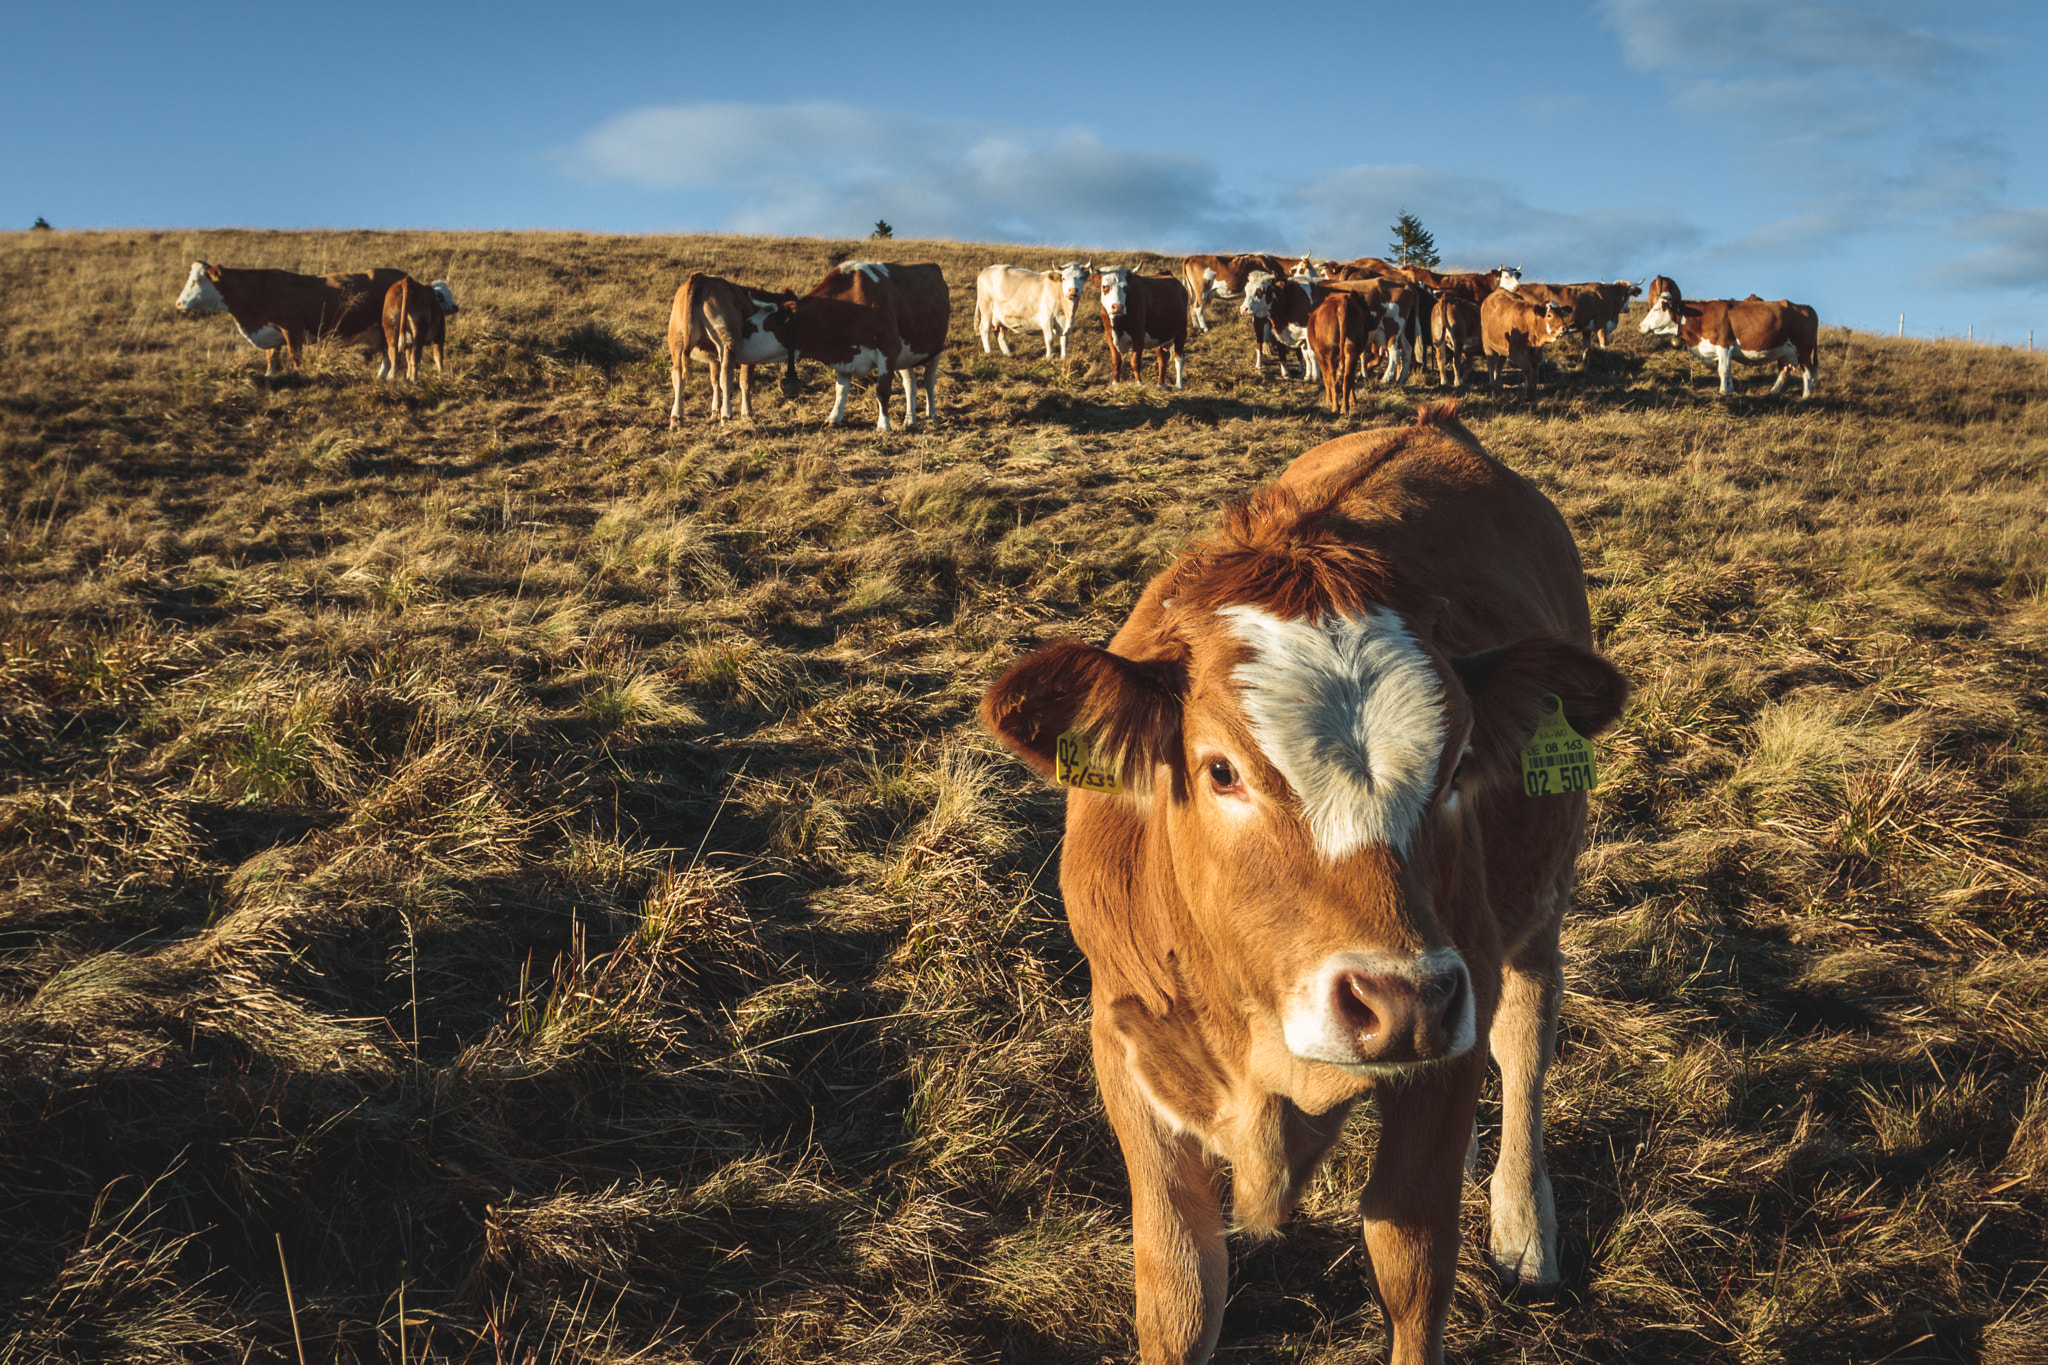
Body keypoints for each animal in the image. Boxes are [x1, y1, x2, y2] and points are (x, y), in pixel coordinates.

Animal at [175, 259, 407, 378]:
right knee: (386, 354)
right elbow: (271, 358)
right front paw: (269, 377)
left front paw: (299, 377)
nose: (178, 303)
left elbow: (295, 357)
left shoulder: (291, 330)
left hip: (389, 327)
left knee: (392, 353)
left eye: (196, 281)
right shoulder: (270, 332)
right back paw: (381, 376)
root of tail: (400, 274)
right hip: (377, 331)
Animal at [671, 272, 798, 427]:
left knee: (678, 377)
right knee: (726, 377)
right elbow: (744, 382)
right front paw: (746, 413)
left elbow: (714, 381)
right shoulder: (750, 358)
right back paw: (726, 415)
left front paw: (715, 411)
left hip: (677, 343)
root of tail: (700, 278)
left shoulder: (713, 359)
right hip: (727, 344)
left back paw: (676, 418)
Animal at [974, 401, 1630, 1365]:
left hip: (1538, 907)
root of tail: (1438, 425)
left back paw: (1523, 1223)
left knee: (1524, 1037)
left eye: (1459, 765)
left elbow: (1412, 1260)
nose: (1403, 1000)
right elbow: (1179, 1290)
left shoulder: (1453, 1022)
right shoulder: (1126, 1042)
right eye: (1220, 770)